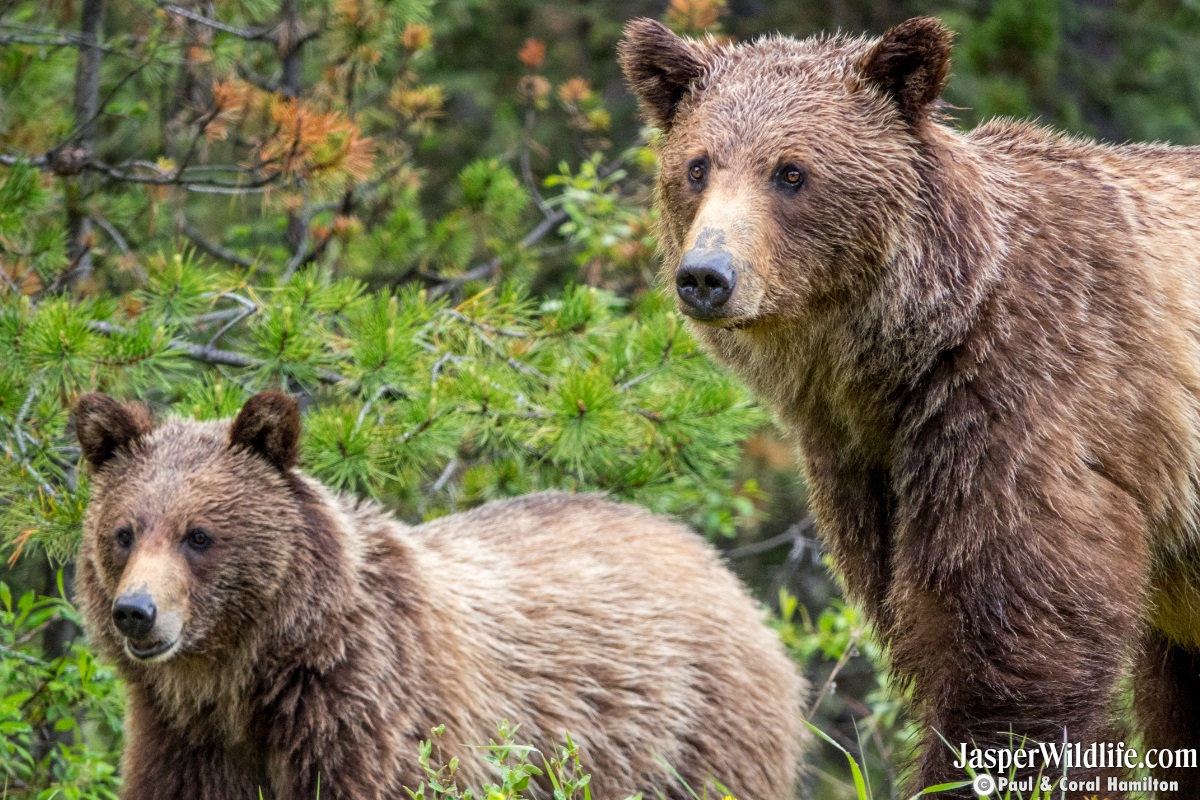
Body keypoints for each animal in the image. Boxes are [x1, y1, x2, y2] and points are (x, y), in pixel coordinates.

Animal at [72, 393, 806, 800]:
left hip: (697, 736)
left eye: (199, 535)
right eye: (124, 532)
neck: (242, 681)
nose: (137, 612)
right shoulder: (184, 746)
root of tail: (716, 563)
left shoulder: (372, 722)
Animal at [624, 14, 1200, 800]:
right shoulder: (868, 467)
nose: (707, 276)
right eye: (697, 166)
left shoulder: (1028, 399)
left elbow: (1015, 650)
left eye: (792, 172)